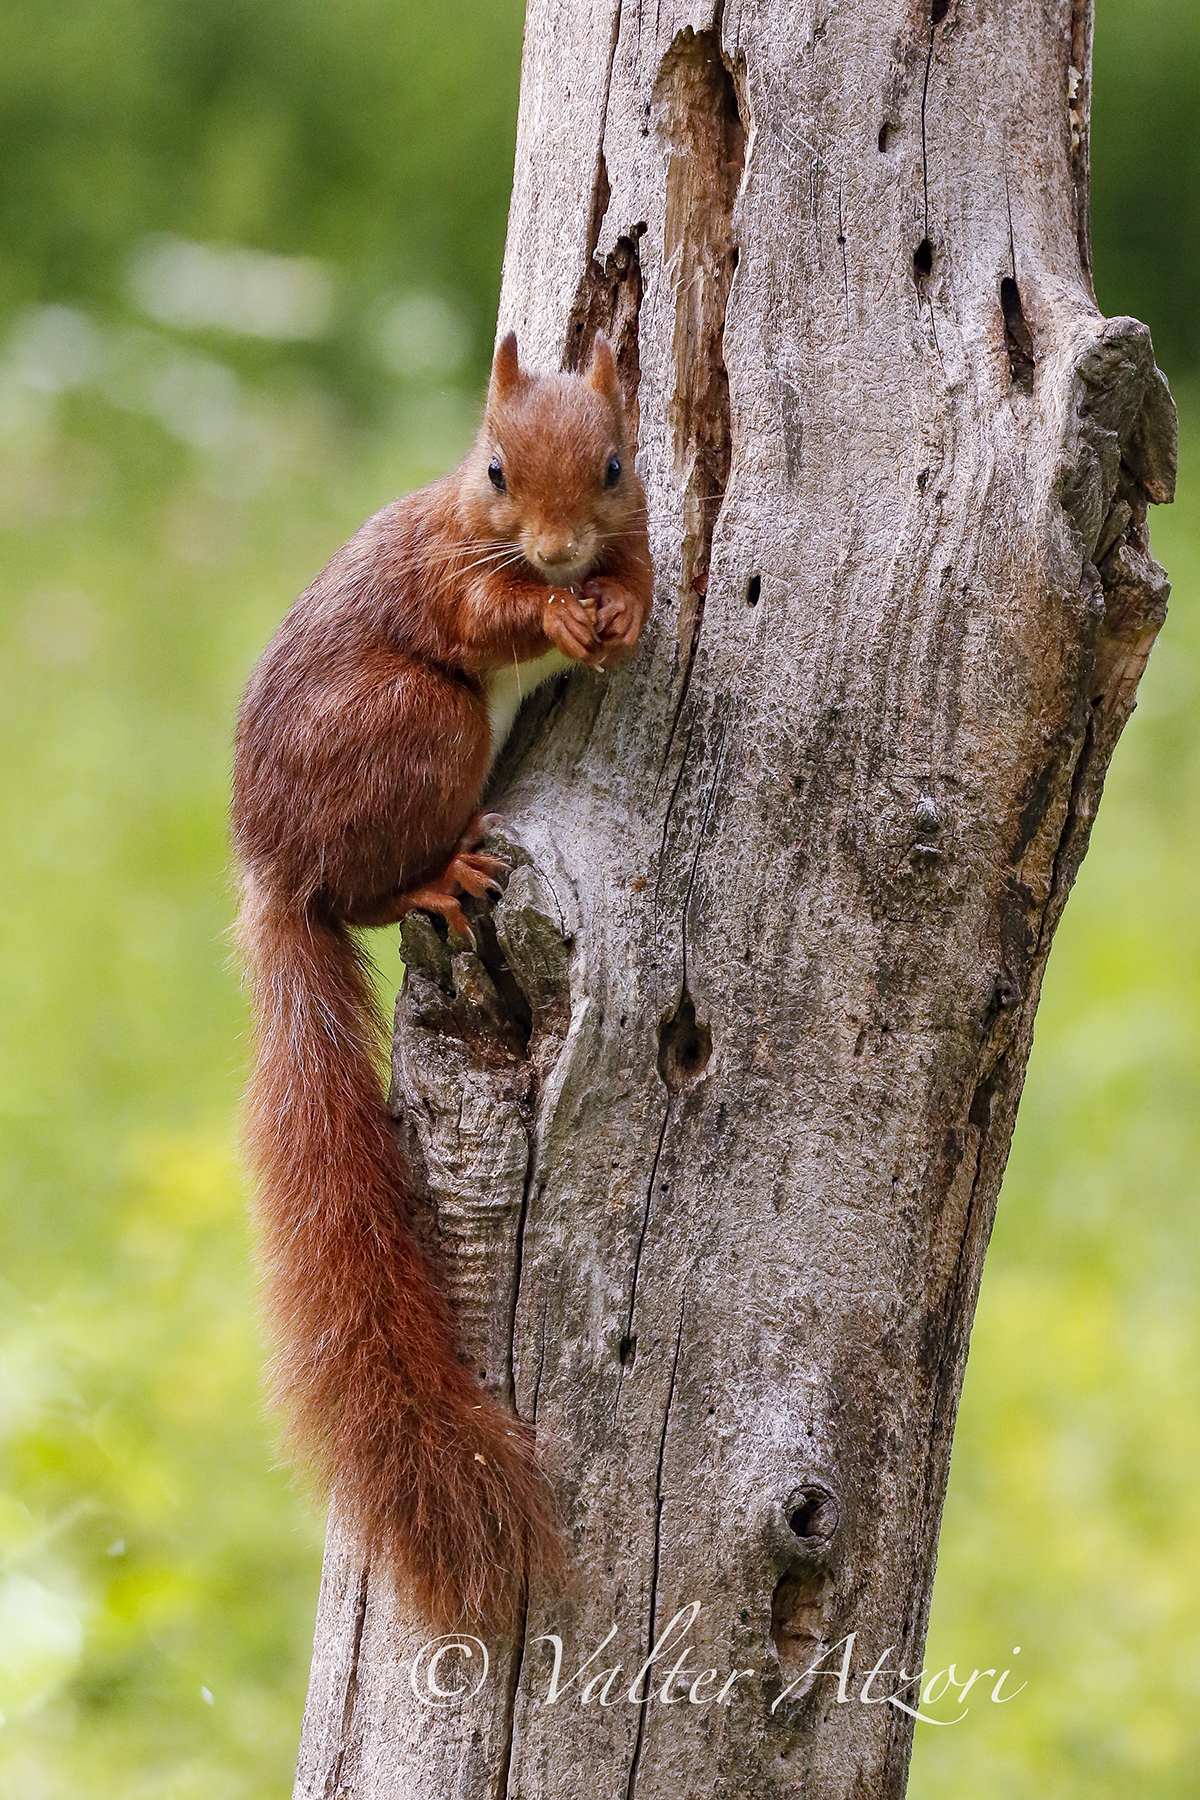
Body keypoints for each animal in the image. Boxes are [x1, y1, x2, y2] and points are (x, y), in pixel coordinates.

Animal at [231, 331, 653, 1628]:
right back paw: (436, 872)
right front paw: (557, 612)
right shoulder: (451, 572)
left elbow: (652, 579)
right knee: (366, 892)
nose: (561, 555)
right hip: (423, 721)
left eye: (616, 463)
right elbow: (484, 609)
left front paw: (618, 605)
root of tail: (277, 866)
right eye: (497, 468)